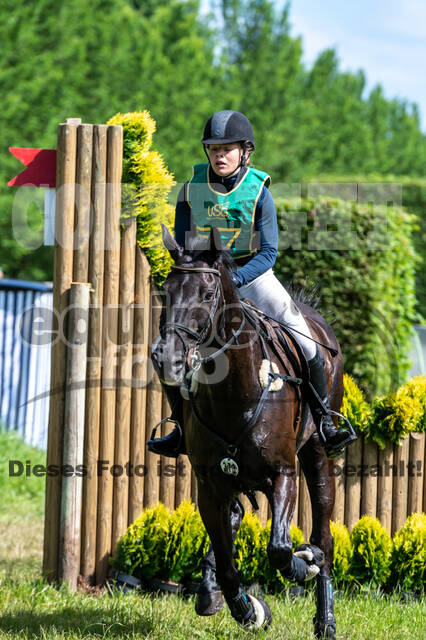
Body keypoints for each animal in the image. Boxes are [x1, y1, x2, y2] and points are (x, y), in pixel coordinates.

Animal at [151, 224, 342, 639]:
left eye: (208, 295)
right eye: (164, 291)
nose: (168, 358)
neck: (235, 392)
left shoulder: (283, 474)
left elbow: (281, 548)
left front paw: (305, 563)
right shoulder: (209, 485)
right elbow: (226, 564)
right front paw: (248, 610)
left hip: (317, 452)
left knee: (323, 533)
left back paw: (325, 618)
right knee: (236, 514)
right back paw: (211, 594)